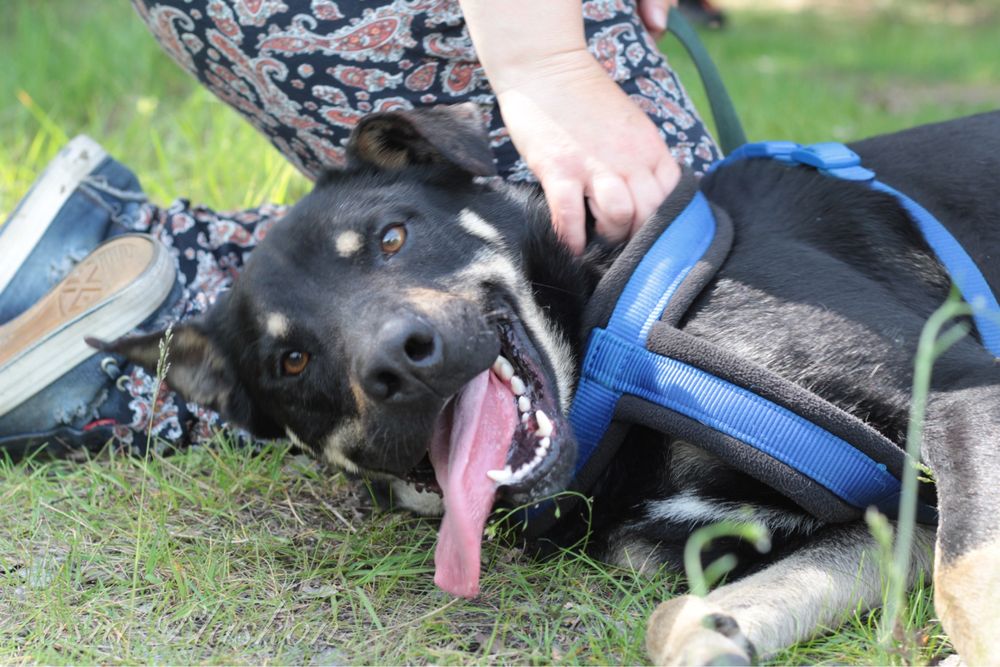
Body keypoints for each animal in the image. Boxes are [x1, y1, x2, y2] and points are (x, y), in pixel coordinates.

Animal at [99, 107, 1000, 664]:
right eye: (290, 361)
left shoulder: (961, 389)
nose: (399, 361)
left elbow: (965, 576)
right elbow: (678, 620)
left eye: (392, 238)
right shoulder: (885, 513)